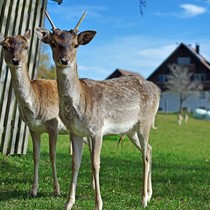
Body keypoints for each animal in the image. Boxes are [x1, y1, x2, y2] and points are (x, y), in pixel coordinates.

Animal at [0, 29, 69, 197]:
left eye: (26, 46)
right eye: (5, 46)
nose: (16, 60)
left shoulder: (54, 125)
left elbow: (52, 155)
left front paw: (57, 191)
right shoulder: (33, 128)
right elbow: (36, 156)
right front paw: (33, 190)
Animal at [35, 11, 161, 210]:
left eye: (75, 44)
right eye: (53, 43)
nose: (64, 60)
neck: (80, 104)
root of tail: (158, 90)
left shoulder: (97, 129)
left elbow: (95, 164)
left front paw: (98, 204)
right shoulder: (75, 132)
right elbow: (75, 163)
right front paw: (68, 203)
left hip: (145, 123)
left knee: (145, 156)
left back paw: (143, 200)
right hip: (131, 129)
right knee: (148, 149)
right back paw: (149, 194)